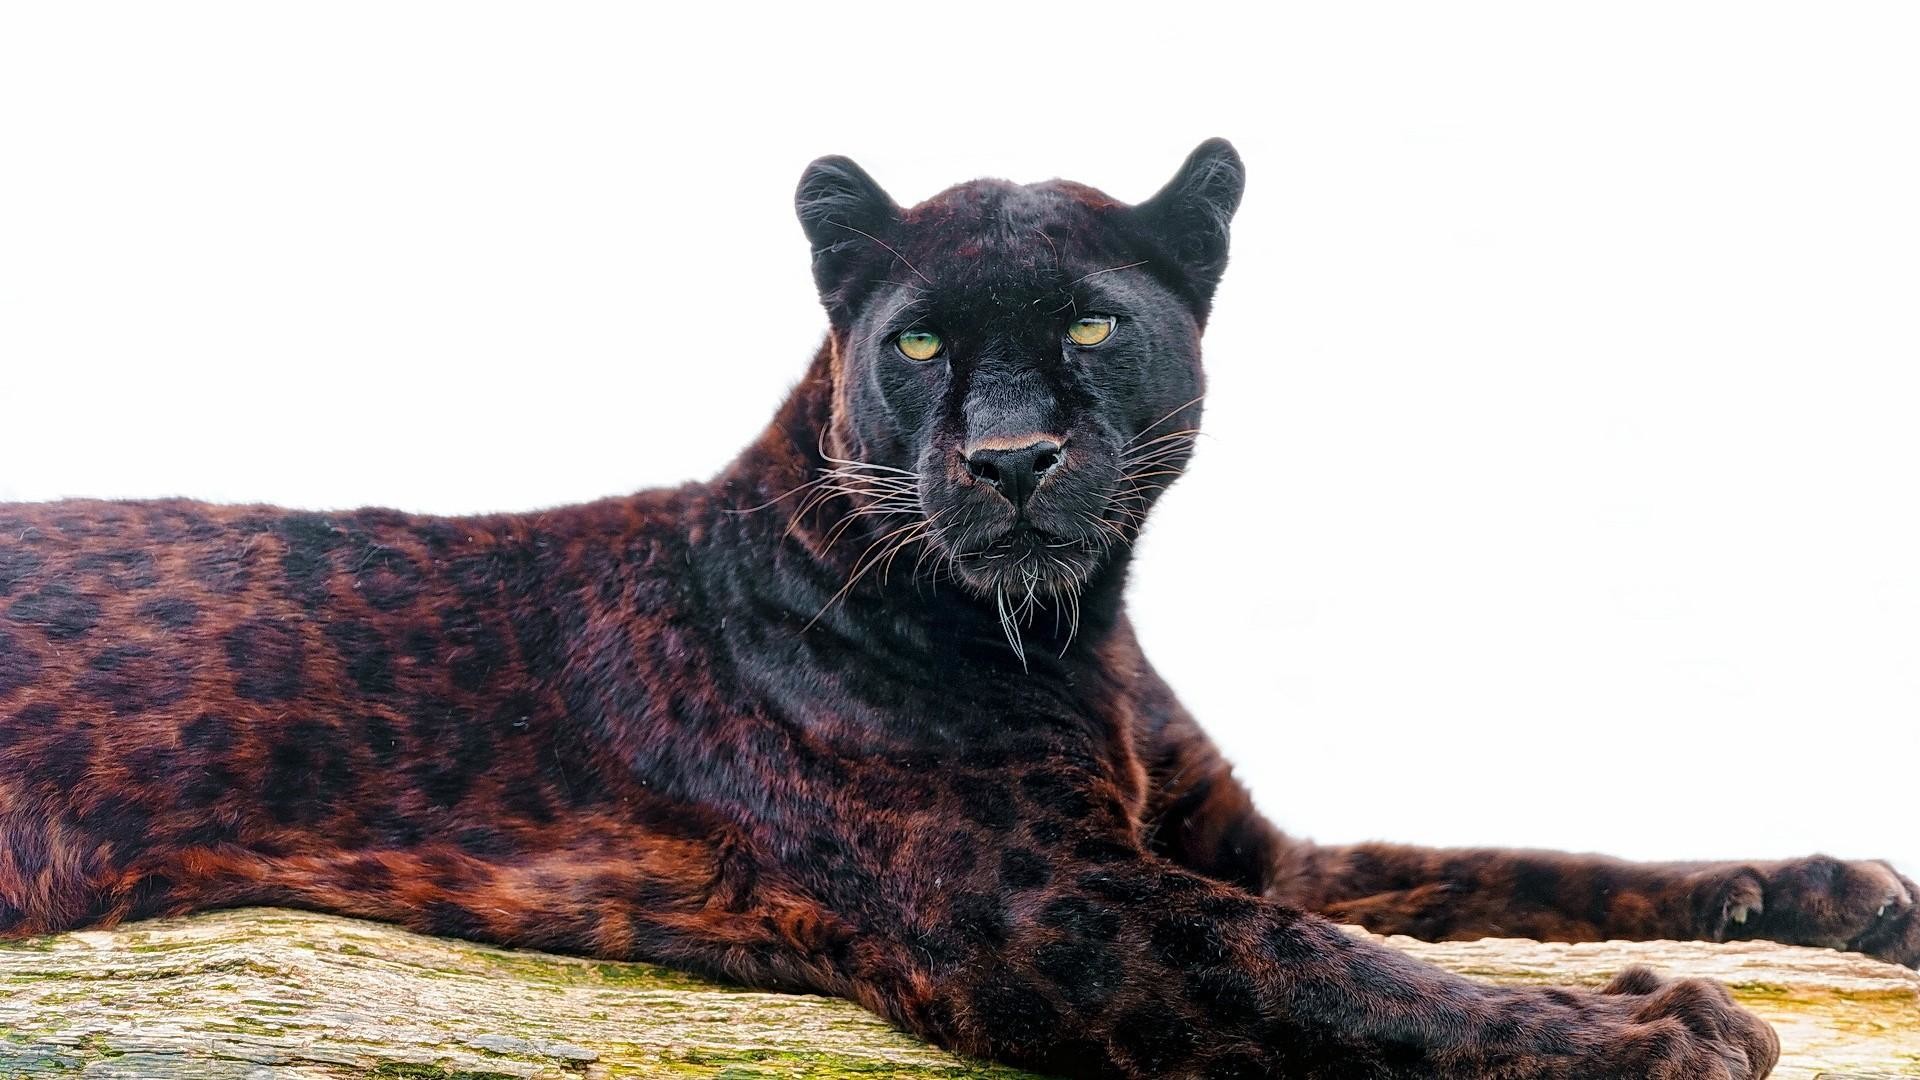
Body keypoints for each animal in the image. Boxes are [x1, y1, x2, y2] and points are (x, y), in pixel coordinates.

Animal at [1, 138, 1913, 1078]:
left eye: (1090, 325)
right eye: (921, 337)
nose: (1003, 459)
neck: (1082, 635)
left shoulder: (1235, 846)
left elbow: (1522, 869)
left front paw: (1829, 895)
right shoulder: (1044, 909)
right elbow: (1339, 971)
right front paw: (1655, 1027)